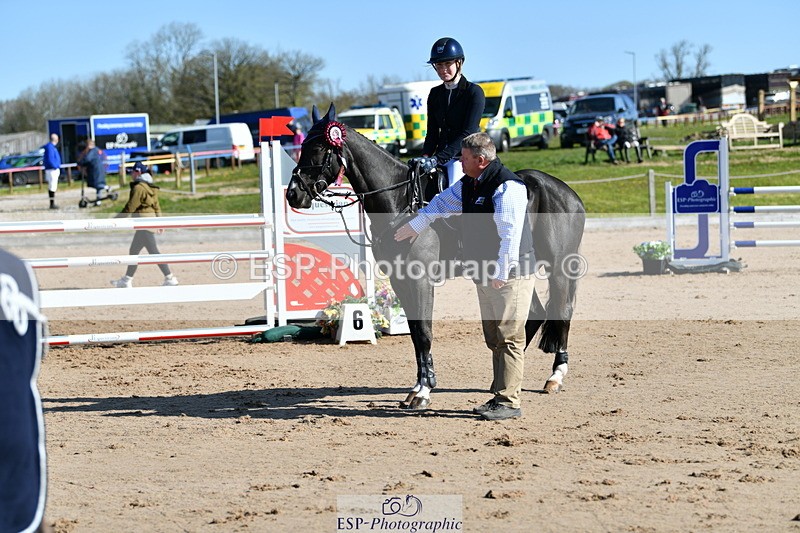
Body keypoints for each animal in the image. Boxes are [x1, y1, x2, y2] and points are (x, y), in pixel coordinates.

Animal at [287, 103, 586, 410]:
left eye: (318, 148)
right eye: (302, 146)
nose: (293, 194)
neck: (400, 202)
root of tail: (566, 190)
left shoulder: (421, 280)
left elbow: (425, 332)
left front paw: (424, 391)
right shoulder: (399, 280)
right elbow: (416, 334)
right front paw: (419, 386)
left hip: (558, 266)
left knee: (562, 311)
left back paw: (555, 377)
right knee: (533, 313)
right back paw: (500, 380)